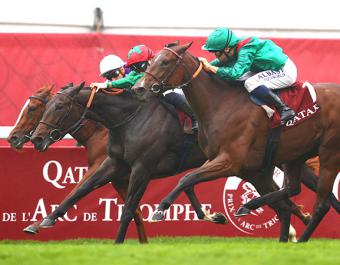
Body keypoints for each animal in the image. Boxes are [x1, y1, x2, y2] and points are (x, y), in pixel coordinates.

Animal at [132, 41, 340, 241]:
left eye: (165, 62)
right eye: (150, 62)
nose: (138, 89)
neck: (221, 103)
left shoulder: (230, 161)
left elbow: (186, 178)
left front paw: (160, 210)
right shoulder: (218, 158)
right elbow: (189, 181)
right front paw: (211, 215)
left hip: (329, 152)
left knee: (321, 204)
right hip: (294, 155)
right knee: (292, 189)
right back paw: (251, 207)